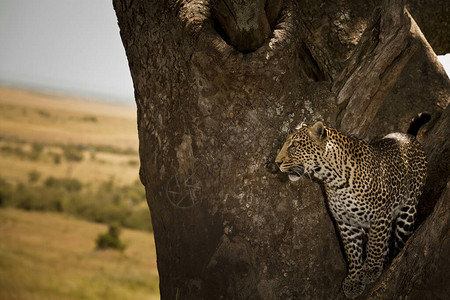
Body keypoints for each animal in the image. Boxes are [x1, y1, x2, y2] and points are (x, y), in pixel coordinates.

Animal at [274, 112, 428, 298]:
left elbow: (375, 244)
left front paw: (370, 269)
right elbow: (353, 252)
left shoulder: (380, 215)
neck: (333, 180)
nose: (276, 162)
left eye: (294, 145)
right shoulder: (346, 222)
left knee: (400, 238)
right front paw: (354, 280)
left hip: (408, 209)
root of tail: (408, 136)